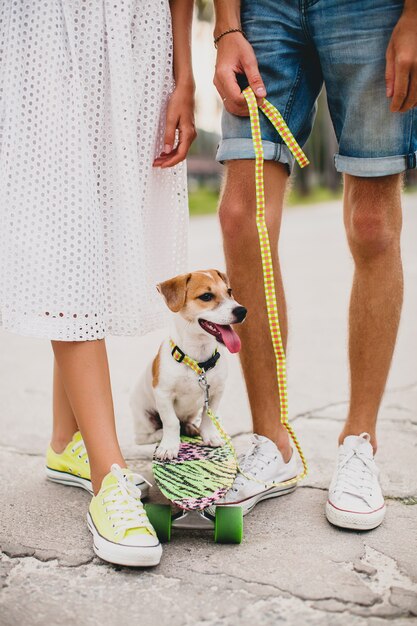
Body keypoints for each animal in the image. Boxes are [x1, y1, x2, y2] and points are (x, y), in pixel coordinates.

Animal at [129, 268, 247, 458]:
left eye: (229, 291)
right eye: (206, 296)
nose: (242, 311)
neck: (198, 361)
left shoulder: (216, 392)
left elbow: (207, 417)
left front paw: (210, 435)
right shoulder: (163, 394)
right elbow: (171, 422)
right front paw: (169, 446)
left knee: (185, 422)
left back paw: (190, 428)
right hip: (144, 416)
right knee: (144, 437)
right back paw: (161, 434)